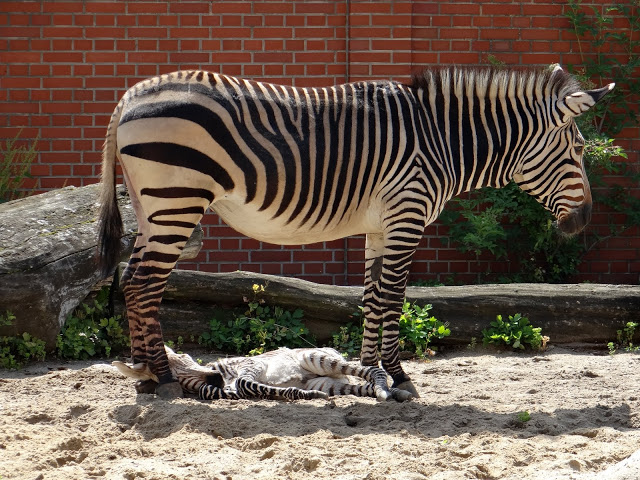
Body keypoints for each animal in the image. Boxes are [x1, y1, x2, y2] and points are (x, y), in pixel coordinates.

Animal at [98, 65, 613, 401]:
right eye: (579, 148)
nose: (584, 221)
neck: (443, 141)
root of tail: (129, 96)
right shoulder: (406, 217)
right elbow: (394, 300)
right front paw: (398, 376)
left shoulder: (380, 228)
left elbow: (371, 299)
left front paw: (369, 375)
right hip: (177, 199)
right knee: (144, 284)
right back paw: (161, 377)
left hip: (150, 206)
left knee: (131, 279)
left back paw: (144, 374)